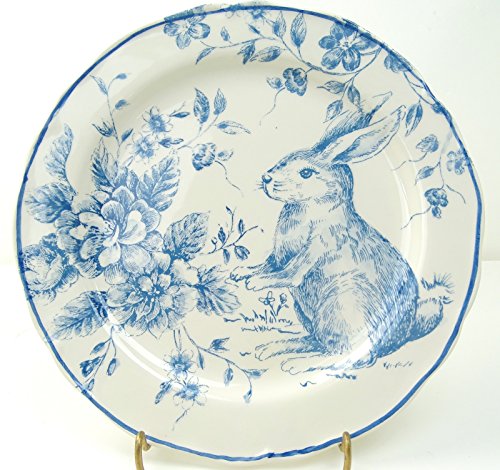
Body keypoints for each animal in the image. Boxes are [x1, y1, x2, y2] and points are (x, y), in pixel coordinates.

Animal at [231, 96, 448, 374]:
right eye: (285, 159)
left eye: (306, 173)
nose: (266, 178)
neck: (313, 208)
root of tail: (400, 335)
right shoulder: (278, 256)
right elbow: (267, 264)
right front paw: (241, 273)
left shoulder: (317, 248)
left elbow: (289, 274)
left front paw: (254, 283)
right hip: (309, 315)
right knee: (317, 342)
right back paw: (271, 349)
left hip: (340, 306)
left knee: (353, 355)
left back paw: (294, 365)